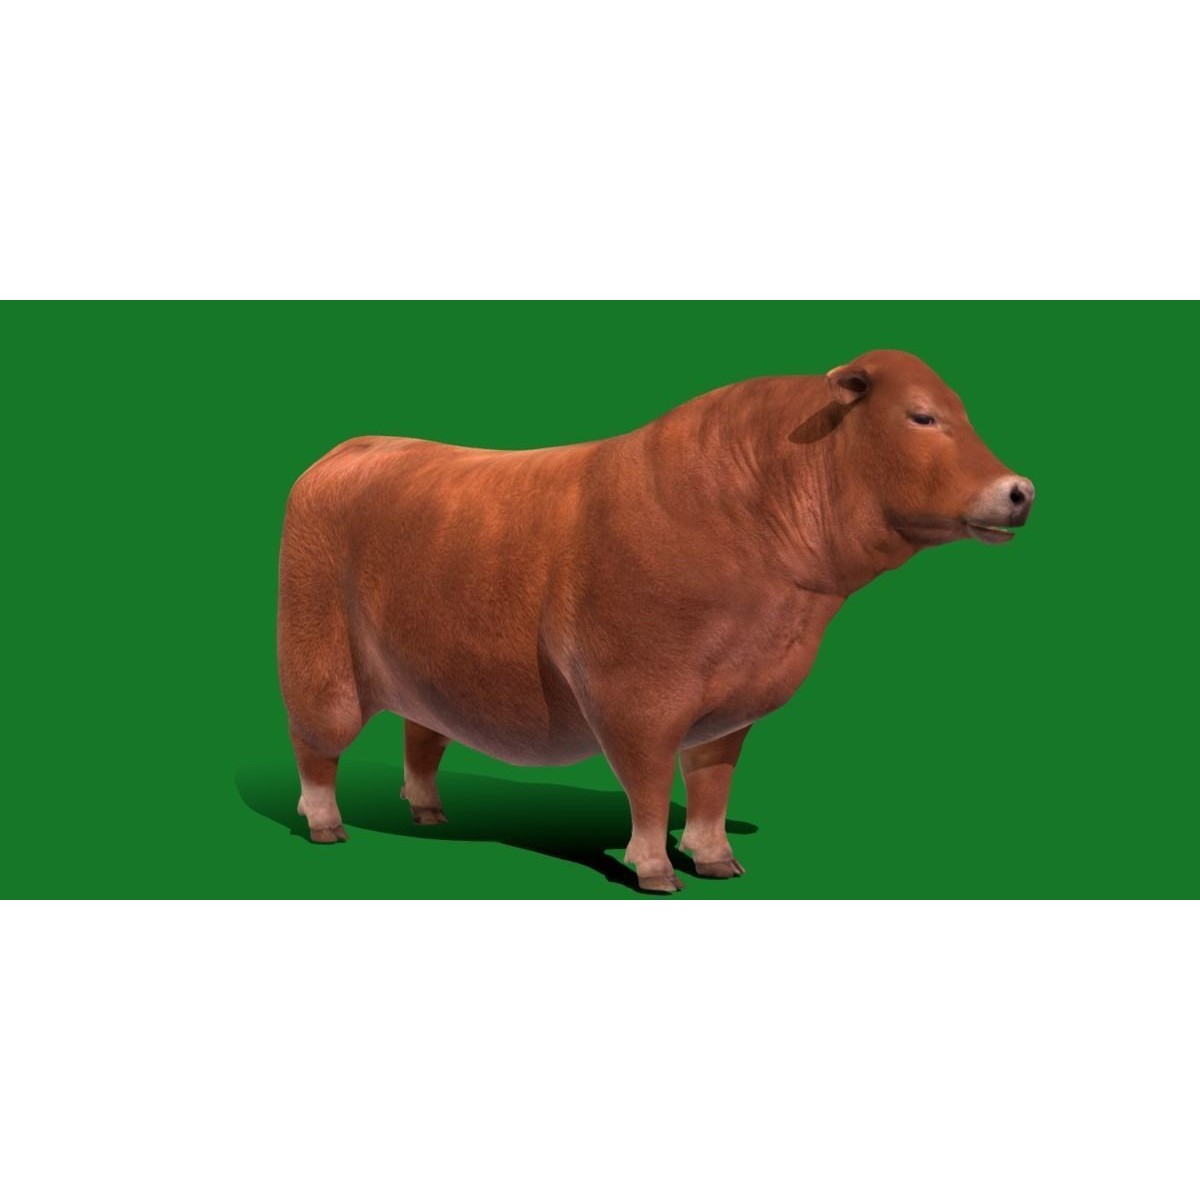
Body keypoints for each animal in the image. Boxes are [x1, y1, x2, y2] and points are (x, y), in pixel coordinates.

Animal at [277, 349, 1035, 892]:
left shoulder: (732, 703)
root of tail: (354, 447)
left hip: (426, 670)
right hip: (320, 662)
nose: (1020, 490)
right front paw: (654, 867)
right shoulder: (634, 692)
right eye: (921, 417)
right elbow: (647, 783)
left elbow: (710, 783)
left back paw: (428, 810)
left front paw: (715, 857)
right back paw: (326, 824)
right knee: (317, 747)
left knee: (423, 735)